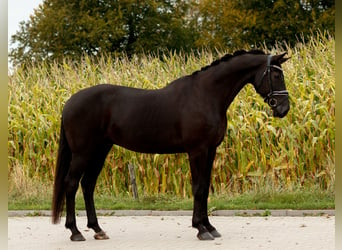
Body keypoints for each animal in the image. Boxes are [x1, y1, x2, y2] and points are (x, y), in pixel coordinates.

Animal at [52, 49, 290, 240]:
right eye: (276, 75)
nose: (283, 109)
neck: (205, 95)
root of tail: (69, 103)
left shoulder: (210, 150)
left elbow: (205, 187)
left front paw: (210, 227)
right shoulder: (197, 151)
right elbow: (198, 188)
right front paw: (200, 229)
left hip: (100, 151)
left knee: (88, 185)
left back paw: (97, 229)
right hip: (82, 153)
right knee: (71, 184)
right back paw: (75, 232)